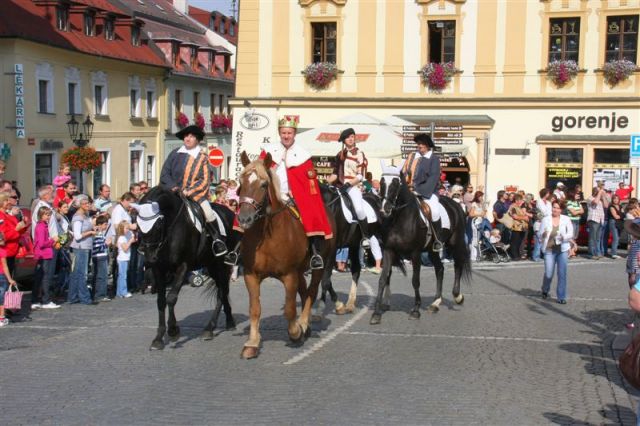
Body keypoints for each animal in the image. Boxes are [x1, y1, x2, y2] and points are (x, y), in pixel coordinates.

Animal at [136, 186, 239, 350]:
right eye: (137, 224)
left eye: (158, 224)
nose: (149, 258)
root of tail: (230, 212)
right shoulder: (159, 269)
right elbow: (161, 301)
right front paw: (158, 338)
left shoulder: (183, 267)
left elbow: (171, 298)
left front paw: (173, 331)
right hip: (211, 266)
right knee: (222, 292)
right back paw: (226, 322)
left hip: (222, 265)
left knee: (222, 292)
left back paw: (211, 328)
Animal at [235, 151, 336, 358]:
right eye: (241, 181)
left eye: (263, 184)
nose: (244, 219)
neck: (266, 236)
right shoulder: (251, 275)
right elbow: (254, 309)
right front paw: (252, 343)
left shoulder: (289, 275)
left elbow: (289, 309)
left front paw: (296, 331)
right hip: (300, 270)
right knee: (304, 292)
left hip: (318, 267)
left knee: (311, 292)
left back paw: (304, 324)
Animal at [316, 186, 380, 316]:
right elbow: (325, 278)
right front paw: (339, 305)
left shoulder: (331, 250)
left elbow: (325, 279)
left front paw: (321, 308)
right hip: (354, 245)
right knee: (356, 269)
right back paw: (350, 304)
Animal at [370, 168, 470, 324]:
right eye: (381, 182)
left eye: (396, 183)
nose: (385, 209)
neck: (400, 218)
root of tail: (456, 204)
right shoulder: (388, 251)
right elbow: (383, 279)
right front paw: (376, 313)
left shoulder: (415, 252)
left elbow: (415, 281)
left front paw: (416, 310)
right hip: (432, 250)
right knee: (439, 269)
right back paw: (435, 303)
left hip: (456, 243)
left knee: (458, 265)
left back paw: (457, 296)